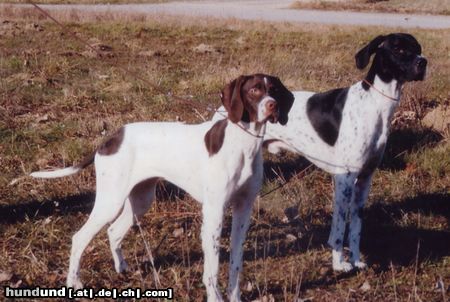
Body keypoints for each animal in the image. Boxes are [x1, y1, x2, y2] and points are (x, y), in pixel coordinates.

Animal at [29, 73, 294, 302]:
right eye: (254, 90)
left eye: (274, 90)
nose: (272, 106)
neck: (243, 144)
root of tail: (110, 138)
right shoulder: (214, 212)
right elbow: (212, 267)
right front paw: (214, 297)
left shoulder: (243, 211)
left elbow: (235, 263)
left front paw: (235, 297)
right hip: (111, 201)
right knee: (79, 237)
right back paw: (74, 282)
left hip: (140, 200)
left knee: (113, 231)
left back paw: (122, 269)